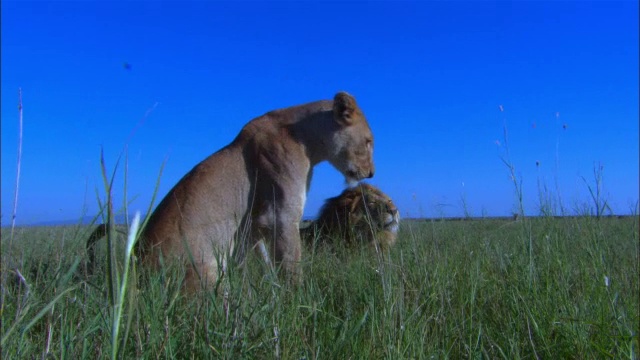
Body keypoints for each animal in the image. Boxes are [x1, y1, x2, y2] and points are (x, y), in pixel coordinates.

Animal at [87, 91, 372, 292]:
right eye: (369, 141)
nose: (371, 173)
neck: (305, 137)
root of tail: (138, 266)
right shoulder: (282, 216)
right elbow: (292, 266)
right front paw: (298, 304)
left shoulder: (255, 226)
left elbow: (264, 263)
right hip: (205, 273)